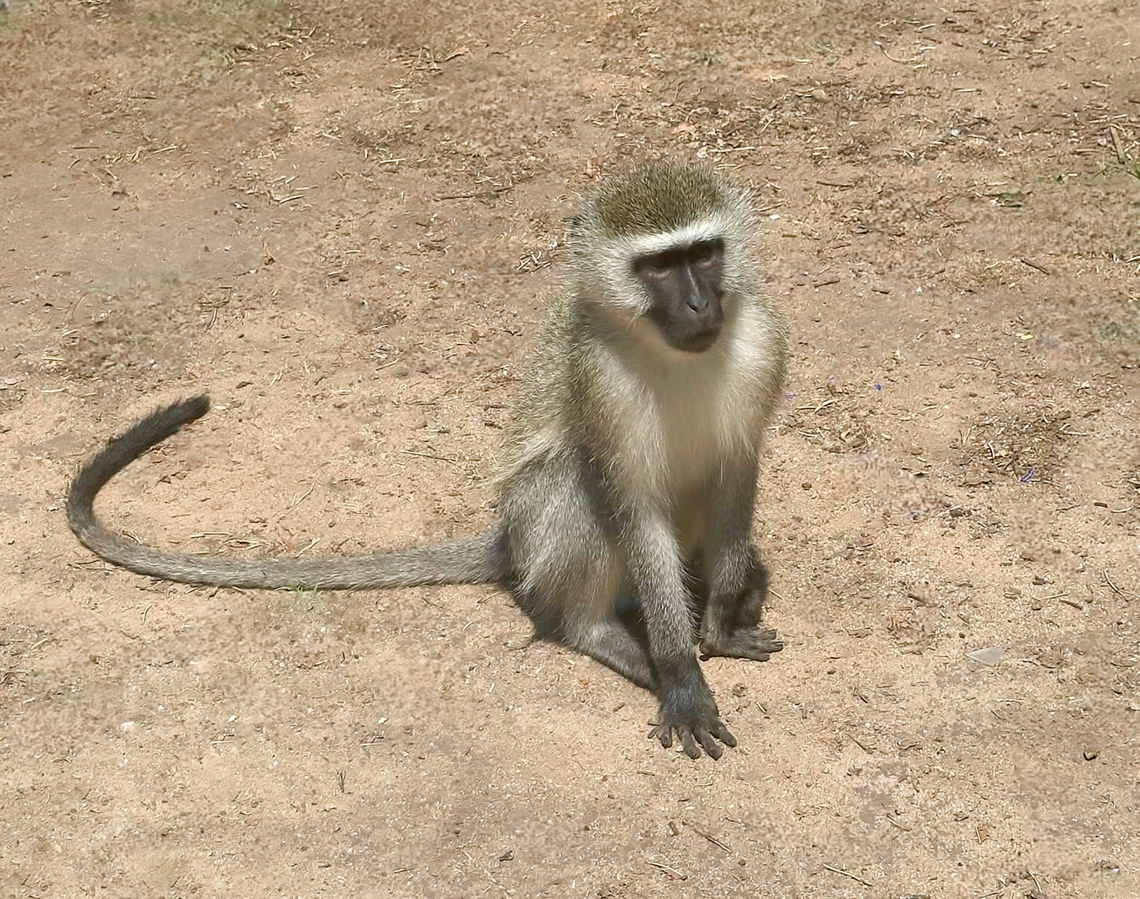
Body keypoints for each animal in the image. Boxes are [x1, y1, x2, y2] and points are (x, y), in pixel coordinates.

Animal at [67, 161, 790, 759]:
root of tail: (510, 541)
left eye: (704, 254)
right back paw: (596, 631)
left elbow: (736, 471)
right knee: (573, 481)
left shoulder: (761, 344)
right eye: (658, 268)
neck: (669, 353)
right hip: (539, 531)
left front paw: (722, 621)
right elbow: (630, 503)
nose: (699, 303)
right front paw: (680, 673)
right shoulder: (598, 378)